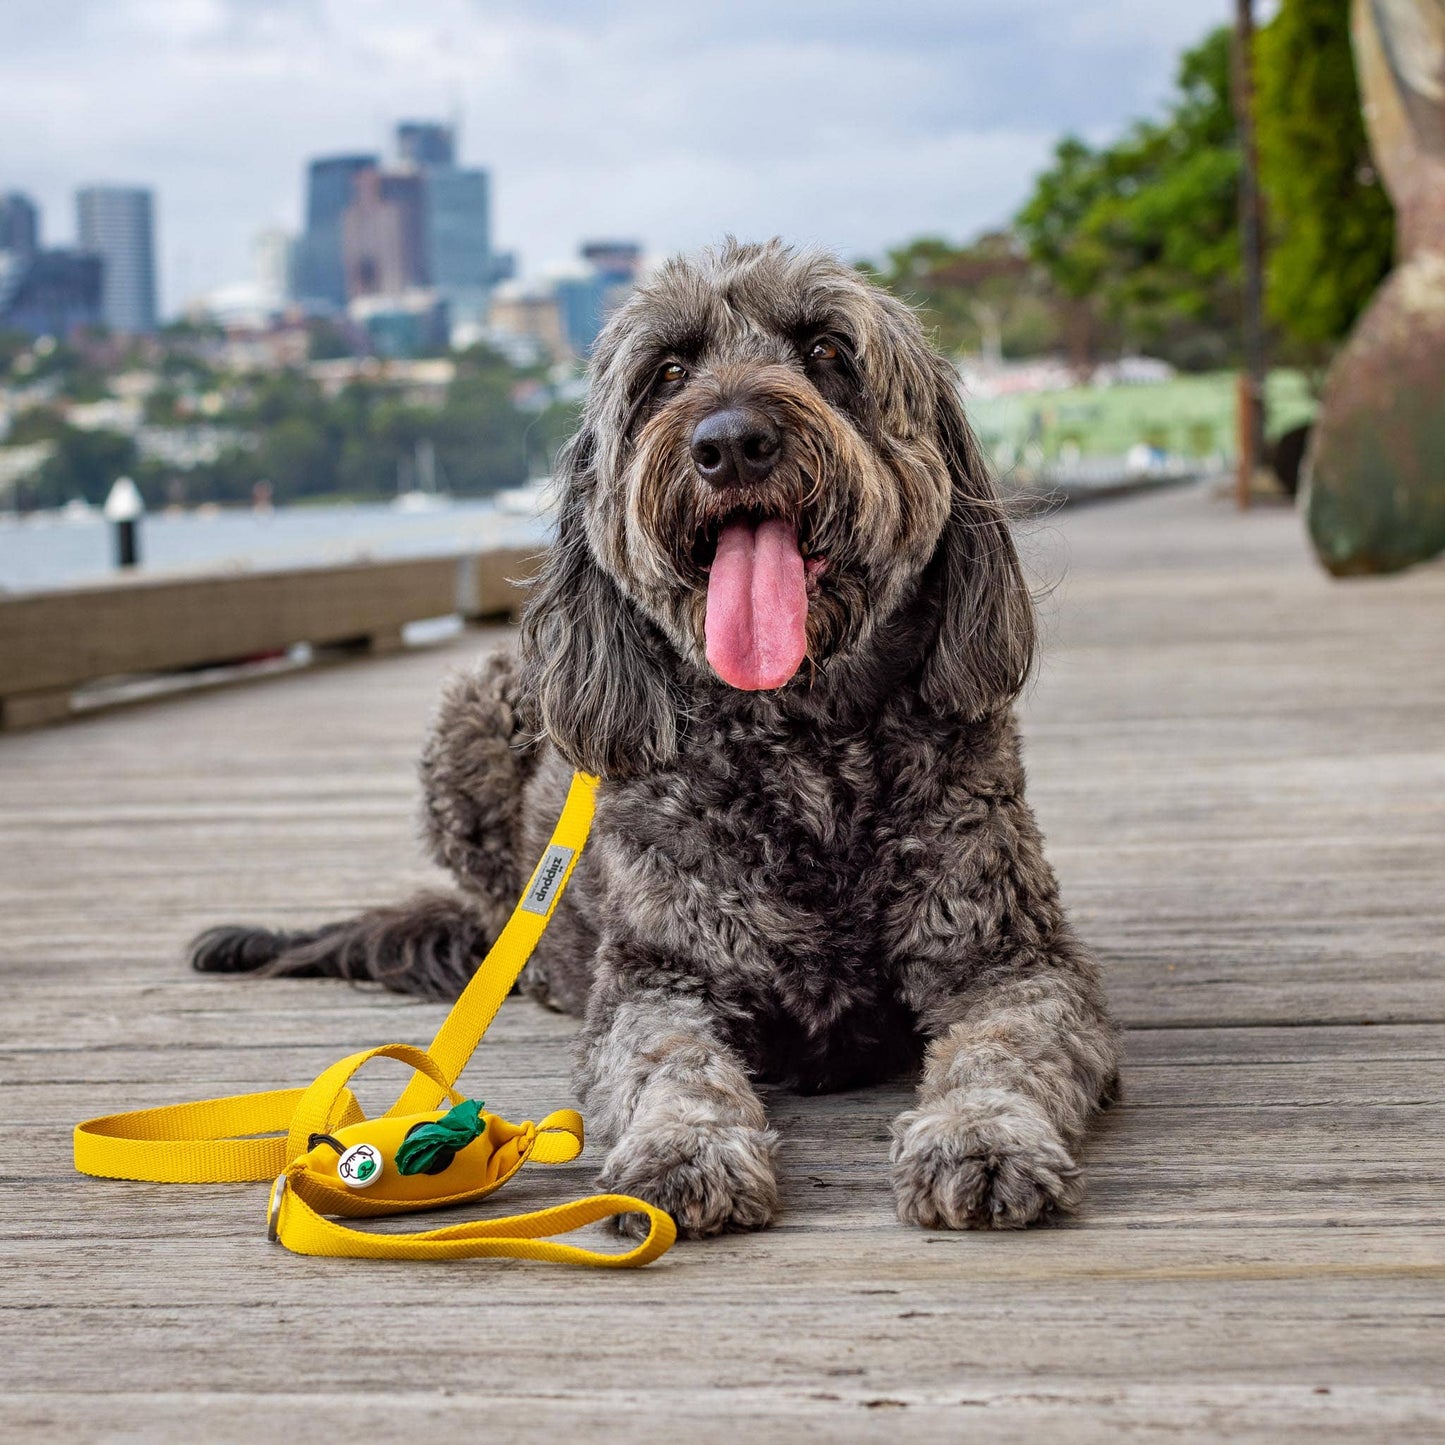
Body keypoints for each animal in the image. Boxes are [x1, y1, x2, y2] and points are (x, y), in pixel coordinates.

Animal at [192, 242, 1115, 1236]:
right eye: (667, 372)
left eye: (827, 349)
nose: (731, 440)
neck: (805, 748)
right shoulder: (661, 973)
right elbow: (668, 1061)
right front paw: (686, 1146)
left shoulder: (1008, 957)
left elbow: (1003, 1046)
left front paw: (979, 1134)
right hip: (470, 717)